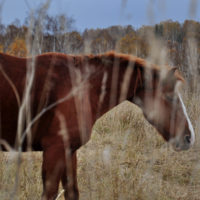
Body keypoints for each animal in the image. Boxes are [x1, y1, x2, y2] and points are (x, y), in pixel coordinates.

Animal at [0, 52, 195, 199]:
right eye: (170, 97)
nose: (189, 137)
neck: (81, 89)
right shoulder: (55, 149)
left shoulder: (69, 151)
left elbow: (72, 192)